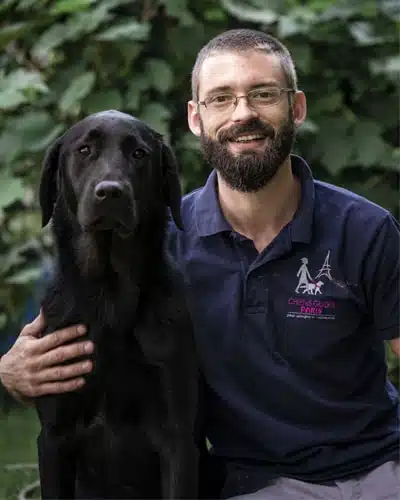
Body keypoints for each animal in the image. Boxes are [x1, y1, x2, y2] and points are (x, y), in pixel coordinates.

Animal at [36, 111, 200, 498]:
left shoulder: (177, 439)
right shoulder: (53, 437)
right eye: (84, 150)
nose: (110, 192)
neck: (110, 296)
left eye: (139, 154)